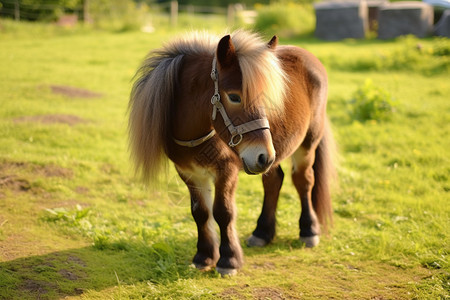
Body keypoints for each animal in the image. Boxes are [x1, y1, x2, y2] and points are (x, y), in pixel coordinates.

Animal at [127, 30, 334, 276]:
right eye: (234, 96)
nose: (263, 156)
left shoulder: (226, 172)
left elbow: (223, 212)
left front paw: (228, 260)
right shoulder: (189, 173)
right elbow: (200, 212)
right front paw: (204, 256)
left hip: (306, 143)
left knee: (303, 181)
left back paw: (309, 231)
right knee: (274, 181)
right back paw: (262, 233)